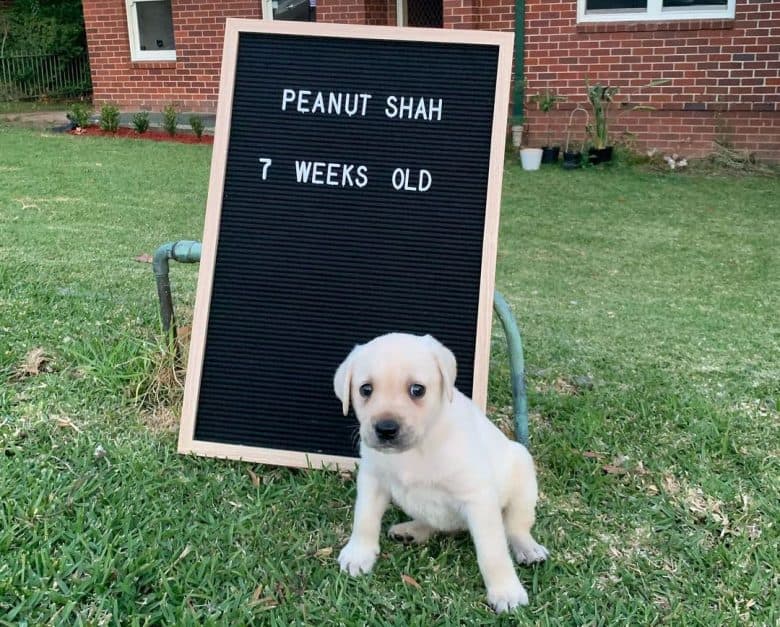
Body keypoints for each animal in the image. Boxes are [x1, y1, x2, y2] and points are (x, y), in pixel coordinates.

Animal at [336, 334, 548, 612]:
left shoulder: (478, 497)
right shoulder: (372, 480)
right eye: (365, 389)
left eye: (417, 390)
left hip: (523, 477)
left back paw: (528, 548)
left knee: (515, 527)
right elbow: (364, 519)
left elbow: (493, 552)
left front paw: (506, 591)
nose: (386, 429)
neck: (418, 448)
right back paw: (411, 531)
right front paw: (358, 553)